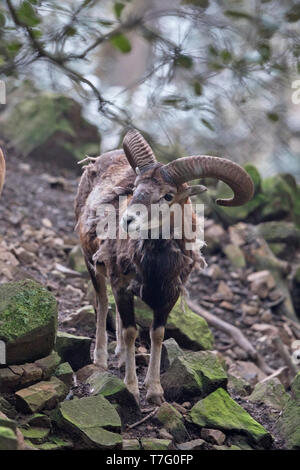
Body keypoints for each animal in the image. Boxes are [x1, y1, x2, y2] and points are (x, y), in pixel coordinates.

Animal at [75, 129, 253, 404]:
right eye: (135, 188)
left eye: (168, 195)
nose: (127, 220)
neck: (155, 266)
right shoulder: (122, 286)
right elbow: (130, 331)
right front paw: (132, 388)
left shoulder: (169, 296)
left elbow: (157, 334)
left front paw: (155, 391)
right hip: (91, 262)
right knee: (102, 302)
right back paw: (102, 358)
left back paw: (119, 356)